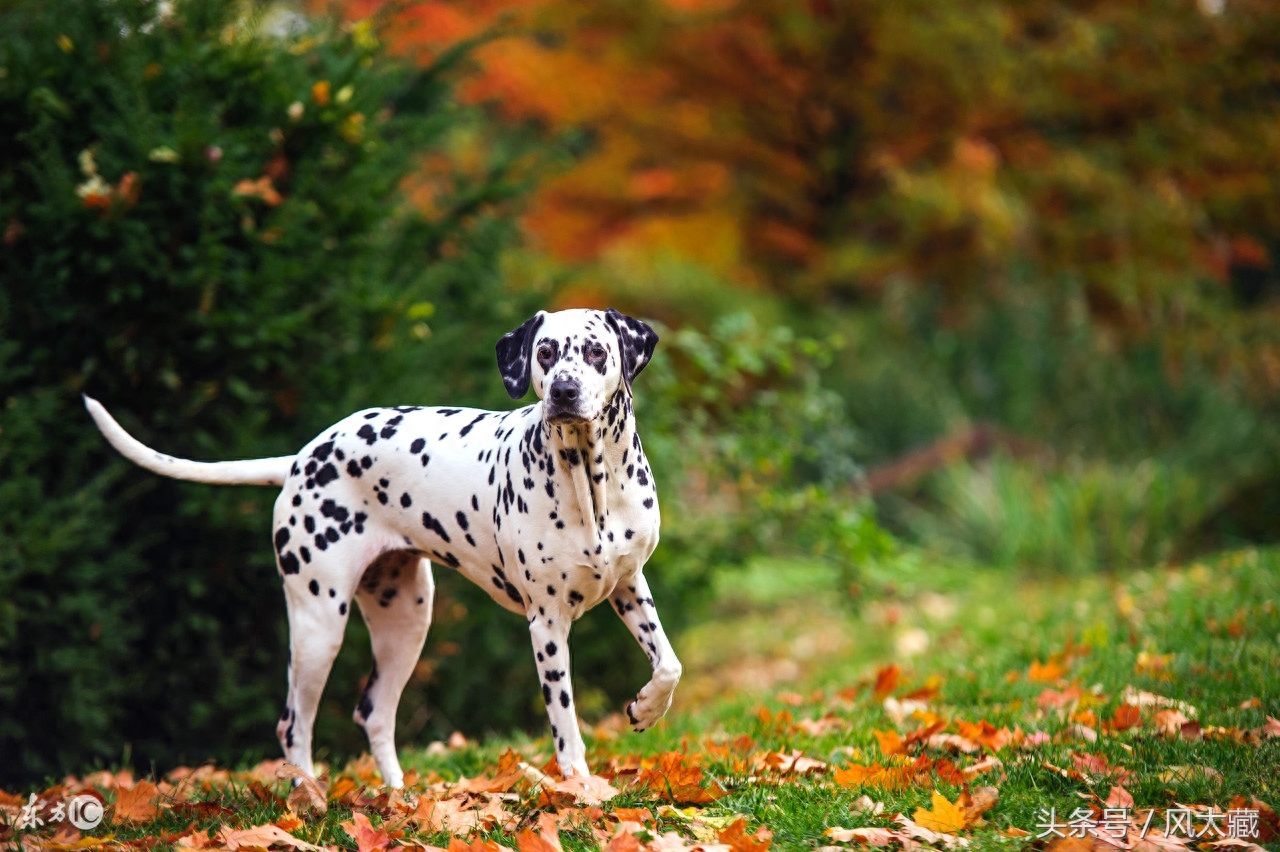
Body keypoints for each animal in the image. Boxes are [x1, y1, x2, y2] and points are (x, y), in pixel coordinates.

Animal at [82, 305, 680, 782]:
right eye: (547, 352)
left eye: (597, 351)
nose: (562, 391)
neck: (592, 486)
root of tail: (303, 458)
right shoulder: (547, 625)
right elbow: (565, 724)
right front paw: (580, 789)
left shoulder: (631, 586)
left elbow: (668, 665)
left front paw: (645, 710)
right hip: (319, 626)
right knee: (293, 724)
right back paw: (310, 800)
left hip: (406, 624)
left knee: (373, 712)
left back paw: (398, 798)